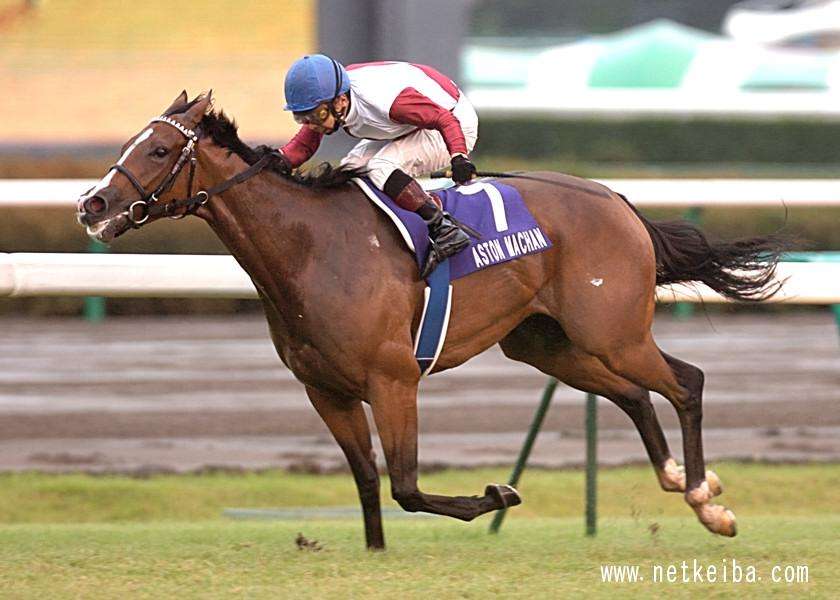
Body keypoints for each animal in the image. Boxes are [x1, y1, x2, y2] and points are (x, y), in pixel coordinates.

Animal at [77, 92, 786, 550]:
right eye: (130, 143)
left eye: (159, 148)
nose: (92, 205)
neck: (310, 248)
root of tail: (615, 197)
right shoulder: (325, 390)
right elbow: (368, 478)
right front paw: (374, 553)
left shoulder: (393, 380)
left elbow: (408, 486)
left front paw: (499, 496)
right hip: (547, 344)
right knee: (636, 394)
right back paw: (680, 478)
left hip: (612, 331)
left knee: (685, 382)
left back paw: (706, 502)